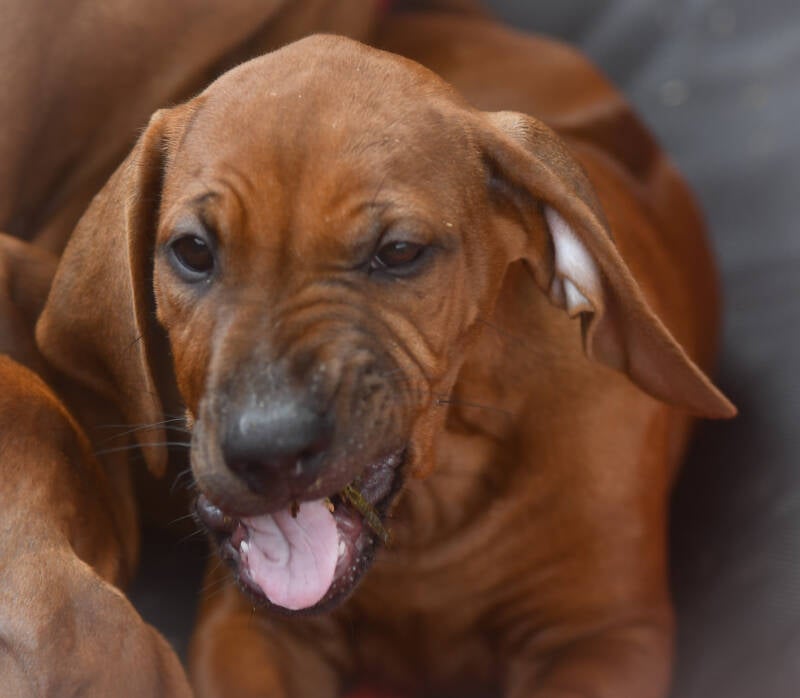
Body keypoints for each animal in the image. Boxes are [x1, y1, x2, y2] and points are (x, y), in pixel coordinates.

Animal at [36, 11, 735, 698]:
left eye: (398, 252)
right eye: (192, 251)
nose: (269, 449)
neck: (429, 519)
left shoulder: (599, 634)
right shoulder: (250, 630)